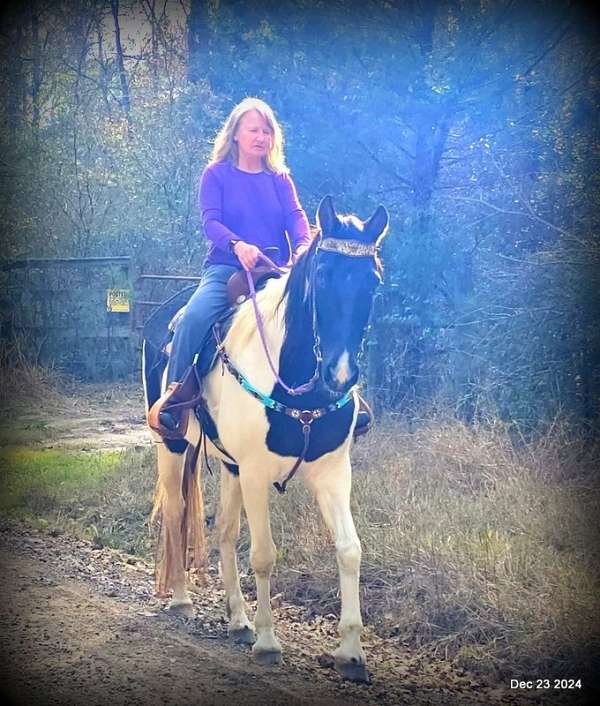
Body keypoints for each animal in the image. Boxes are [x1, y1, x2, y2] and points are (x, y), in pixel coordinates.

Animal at [144, 195, 392, 680]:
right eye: (322, 275)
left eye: (373, 281)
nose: (340, 375)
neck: (295, 382)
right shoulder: (258, 473)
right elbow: (263, 554)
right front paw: (268, 642)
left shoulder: (333, 473)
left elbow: (349, 550)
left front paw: (351, 653)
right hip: (175, 446)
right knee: (178, 513)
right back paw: (182, 600)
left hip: (230, 465)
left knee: (224, 530)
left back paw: (238, 620)